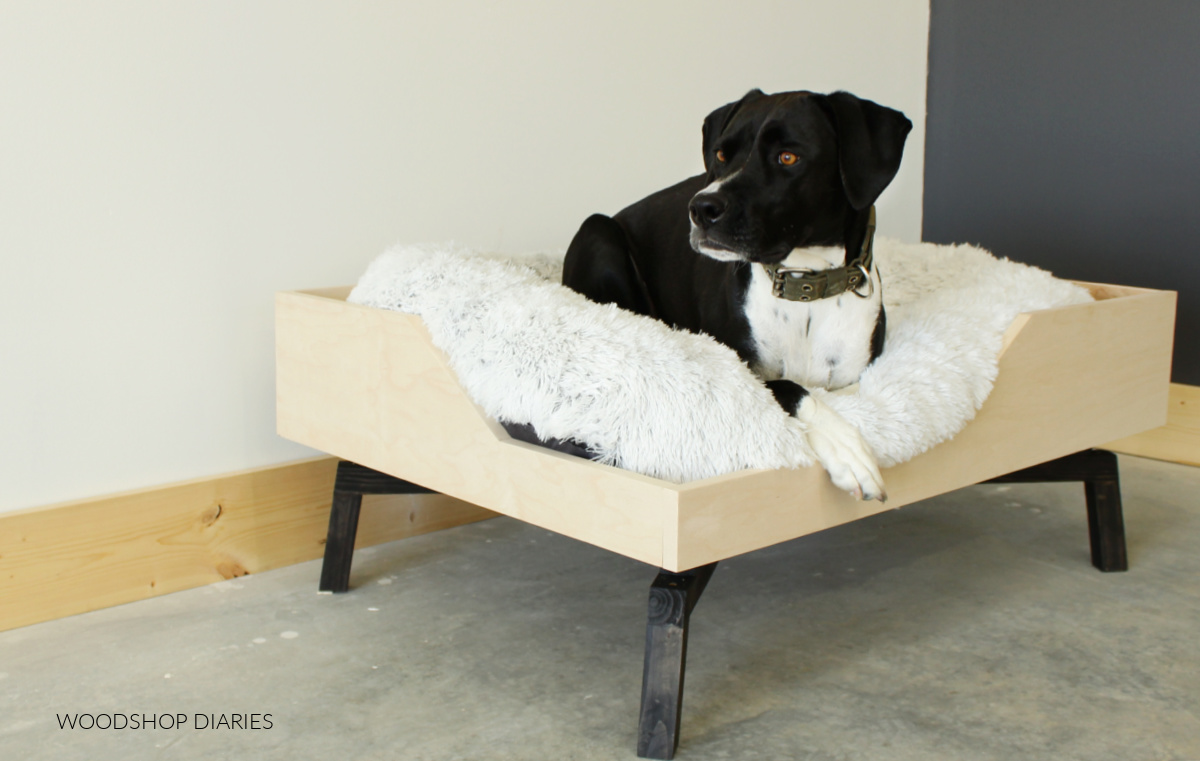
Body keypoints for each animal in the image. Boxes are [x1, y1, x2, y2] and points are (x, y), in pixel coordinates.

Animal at [561, 88, 907, 496]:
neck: (806, 288)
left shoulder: (852, 378)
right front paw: (843, 444)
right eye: (723, 155)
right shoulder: (738, 374)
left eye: (788, 157)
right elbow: (789, 387)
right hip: (598, 230)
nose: (700, 208)